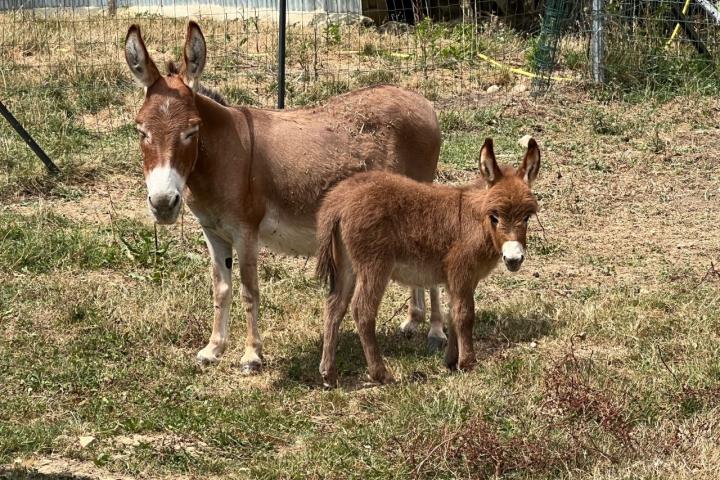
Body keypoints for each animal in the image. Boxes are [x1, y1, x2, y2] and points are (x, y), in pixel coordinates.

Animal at [316, 139, 540, 386]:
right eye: (495, 216)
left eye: (527, 217)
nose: (513, 259)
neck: (476, 222)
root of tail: (340, 200)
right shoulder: (461, 273)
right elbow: (465, 315)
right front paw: (468, 363)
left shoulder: (458, 280)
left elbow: (453, 314)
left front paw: (451, 361)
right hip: (374, 265)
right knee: (362, 310)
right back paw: (381, 374)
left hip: (346, 265)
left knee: (334, 306)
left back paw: (329, 374)